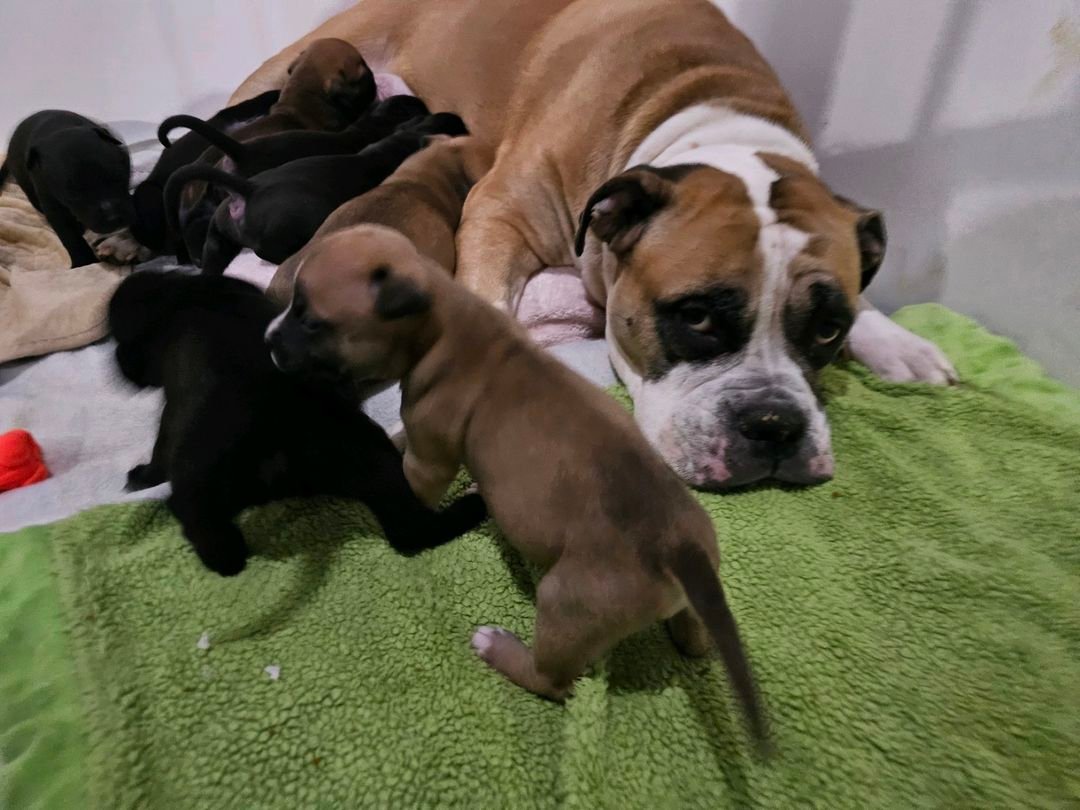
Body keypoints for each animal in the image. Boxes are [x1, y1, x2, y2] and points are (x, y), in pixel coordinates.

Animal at [1, 110, 134, 267]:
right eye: (72, 194)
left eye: (119, 176)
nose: (114, 218)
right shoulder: (52, 203)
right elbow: (69, 236)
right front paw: (85, 262)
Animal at [109, 270, 487, 577]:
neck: (188, 295)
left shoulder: (172, 412)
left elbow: (160, 451)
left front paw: (143, 475)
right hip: (371, 456)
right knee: (410, 531)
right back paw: (472, 506)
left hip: (201, 477)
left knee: (197, 517)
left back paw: (224, 554)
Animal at [266, 225, 767, 746]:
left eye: (310, 320)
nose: (268, 339)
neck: (441, 323)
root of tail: (679, 550)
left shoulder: (429, 460)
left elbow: (409, 485)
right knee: (694, 634)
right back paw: (688, 638)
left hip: (568, 604)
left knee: (553, 681)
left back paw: (499, 650)